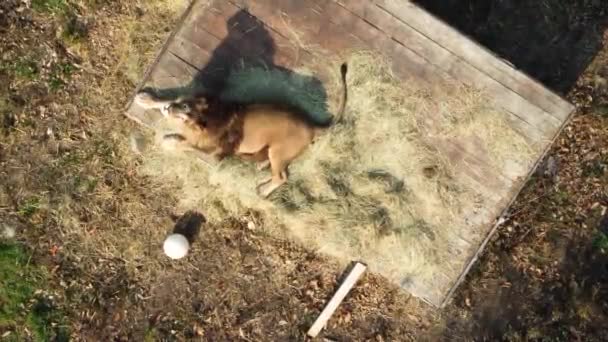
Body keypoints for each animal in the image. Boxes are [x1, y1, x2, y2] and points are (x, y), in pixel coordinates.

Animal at [135, 63, 350, 198]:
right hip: (275, 153)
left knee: (282, 177)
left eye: (187, 111)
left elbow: (185, 144)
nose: (171, 109)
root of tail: (311, 124)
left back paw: (263, 190)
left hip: (279, 151)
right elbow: (163, 100)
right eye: (184, 105)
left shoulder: (214, 154)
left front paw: (169, 141)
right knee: (280, 170)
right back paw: (261, 167)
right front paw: (145, 98)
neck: (208, 118)